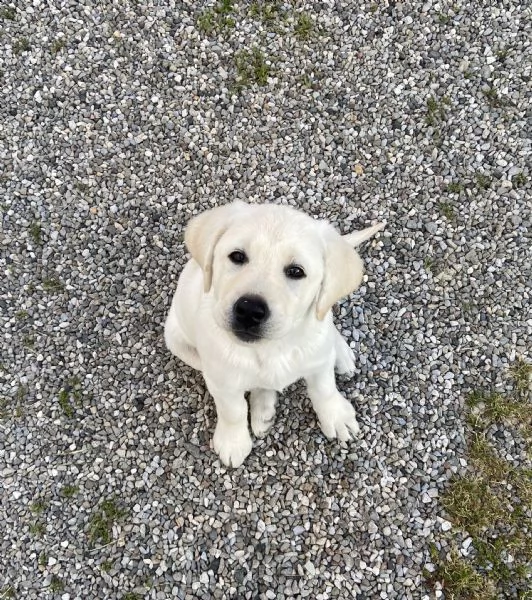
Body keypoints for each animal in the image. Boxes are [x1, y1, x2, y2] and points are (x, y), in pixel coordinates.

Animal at [164, 202, 384, 468]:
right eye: (237, 256)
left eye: (296, 271)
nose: (249, 310)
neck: (272, 348)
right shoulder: (222, 381)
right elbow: (233, 410)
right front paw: (233, 441)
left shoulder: (318, 362)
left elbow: (324, 388)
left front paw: (336, 415)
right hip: (177, 340)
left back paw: (340, 354)